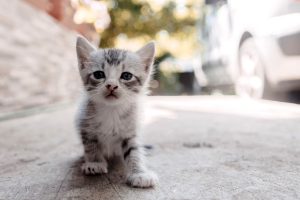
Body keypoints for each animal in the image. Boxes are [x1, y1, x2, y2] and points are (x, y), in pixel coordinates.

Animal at [74, 35, 157, 188]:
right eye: (99, 74)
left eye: (127, 76)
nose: (111, 85)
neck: (111, 110)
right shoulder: (85, 126)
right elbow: (91, 145)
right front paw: (94, 163)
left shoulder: (131, 131)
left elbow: (134, 151)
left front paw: (140, 173)